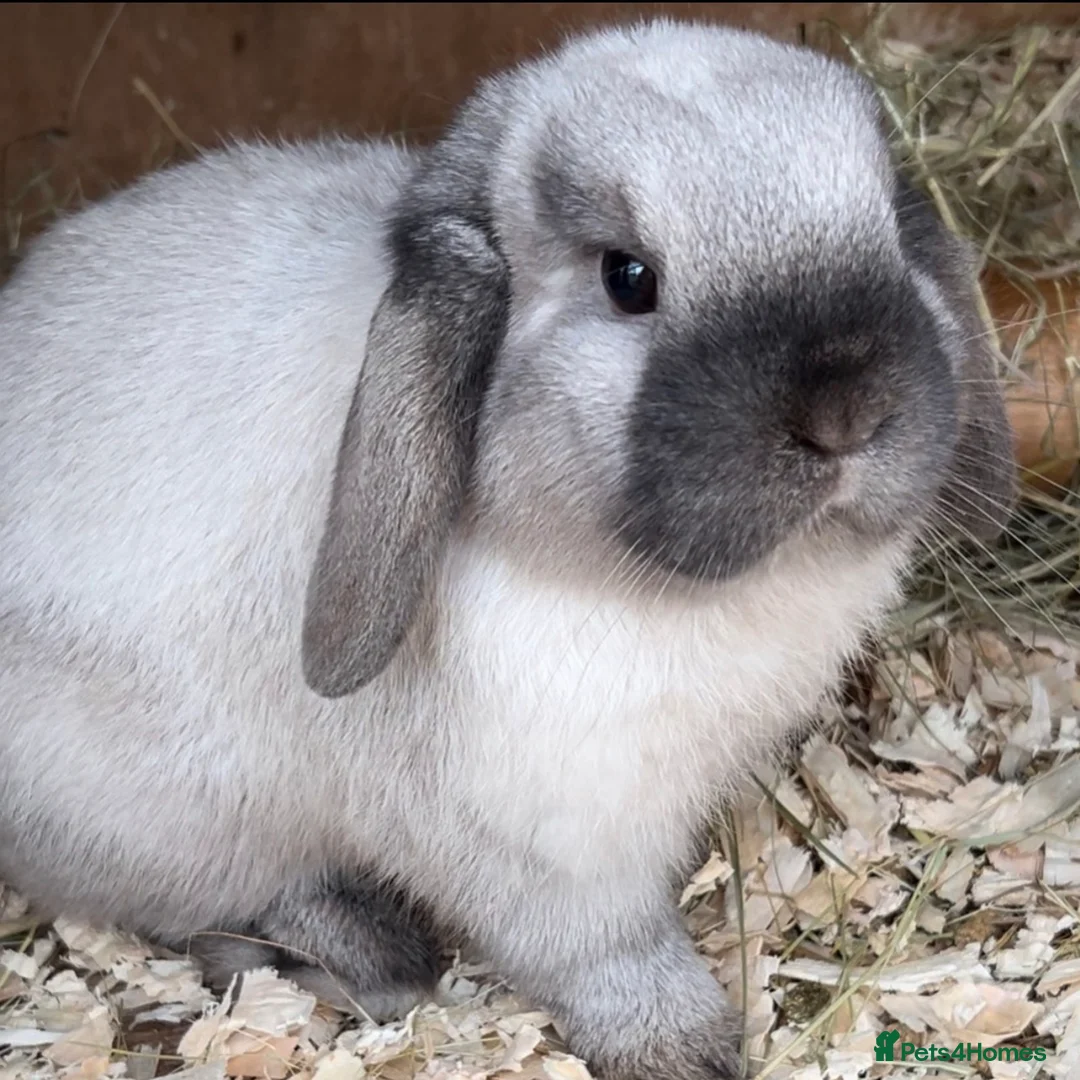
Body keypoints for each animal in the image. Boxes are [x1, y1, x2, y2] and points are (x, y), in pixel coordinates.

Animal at [0, 16, 1014, 1080]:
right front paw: (684, 1047)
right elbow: (605, 952)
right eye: (628, 278)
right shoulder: (545, 851)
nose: (847, 412)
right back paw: (369, 955)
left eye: (892, 228)